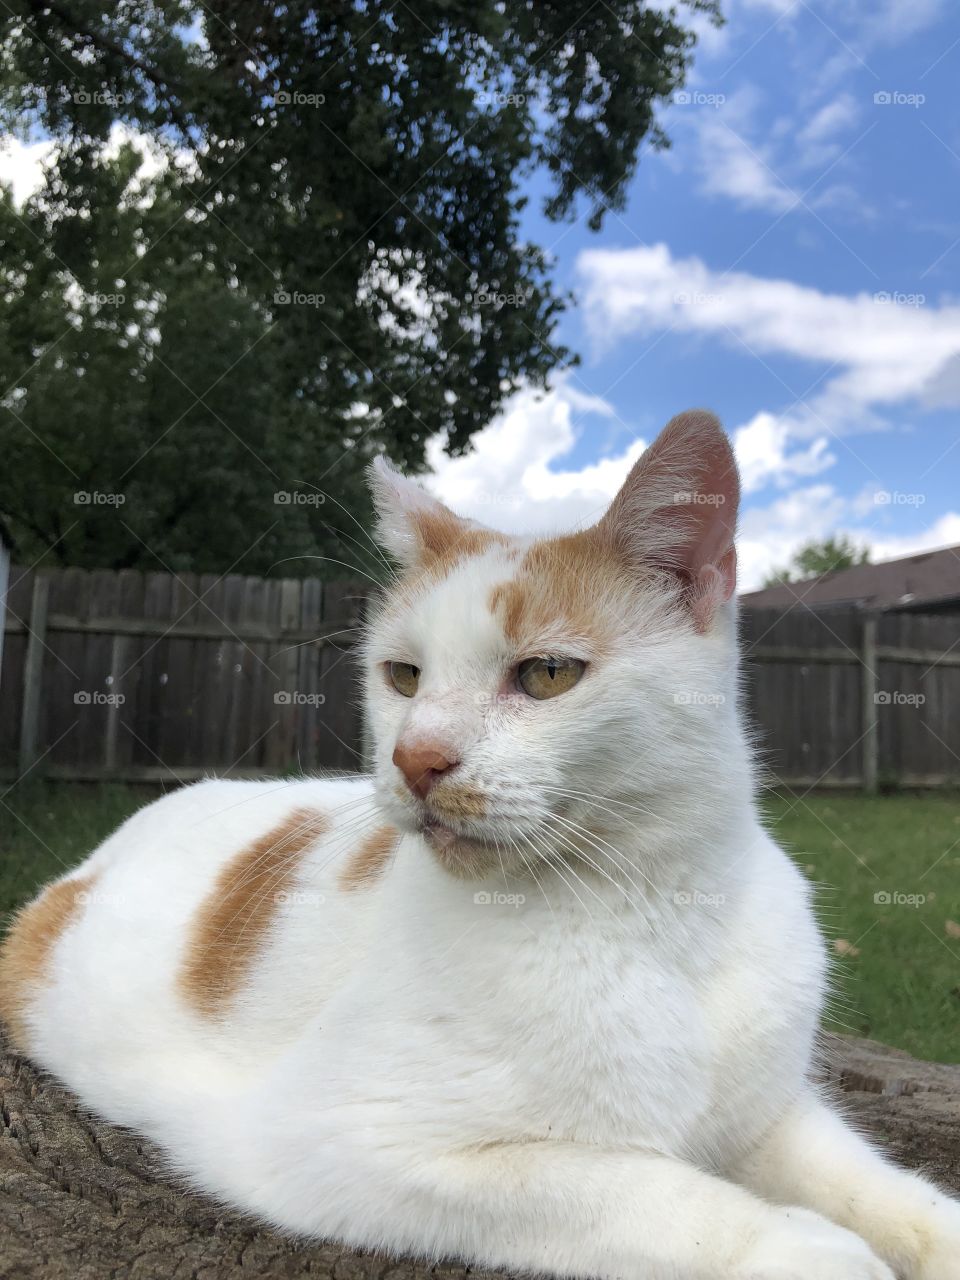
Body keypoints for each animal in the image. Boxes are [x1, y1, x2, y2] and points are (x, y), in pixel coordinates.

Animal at [1, 412, 960, 1280]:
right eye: (402, 676)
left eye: (547, 674)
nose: (415, 757)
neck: (655, 907)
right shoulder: (338, 1143)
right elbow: (636, 1190)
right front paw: (799, 1247)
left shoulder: (768, 1116)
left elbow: (875, 1184)